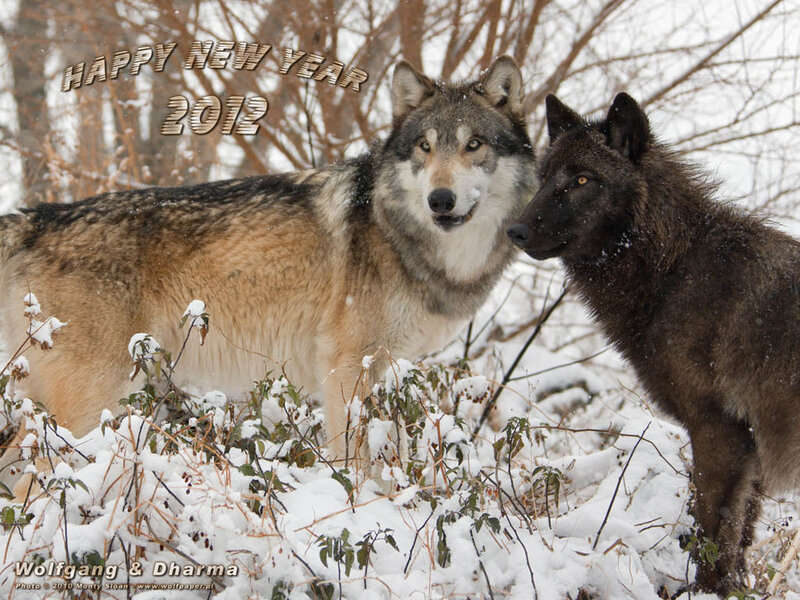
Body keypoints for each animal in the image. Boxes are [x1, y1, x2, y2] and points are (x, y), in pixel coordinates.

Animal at [0, 56, 536, 481]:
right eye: (424, 147)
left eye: (473, 145)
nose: (439, 200)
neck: (396, 230)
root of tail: (34, 219)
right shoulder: (346, 368)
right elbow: (355, 462)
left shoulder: (375, 367)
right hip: (98, 407)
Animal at [507, 92, 800, 594]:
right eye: (545, 179)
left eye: (582, 179)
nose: (515, 231)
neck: (673, 266)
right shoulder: (750, 452)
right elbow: (740, 539)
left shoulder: (718, 434)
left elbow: (712, 533)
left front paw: (704, 591)